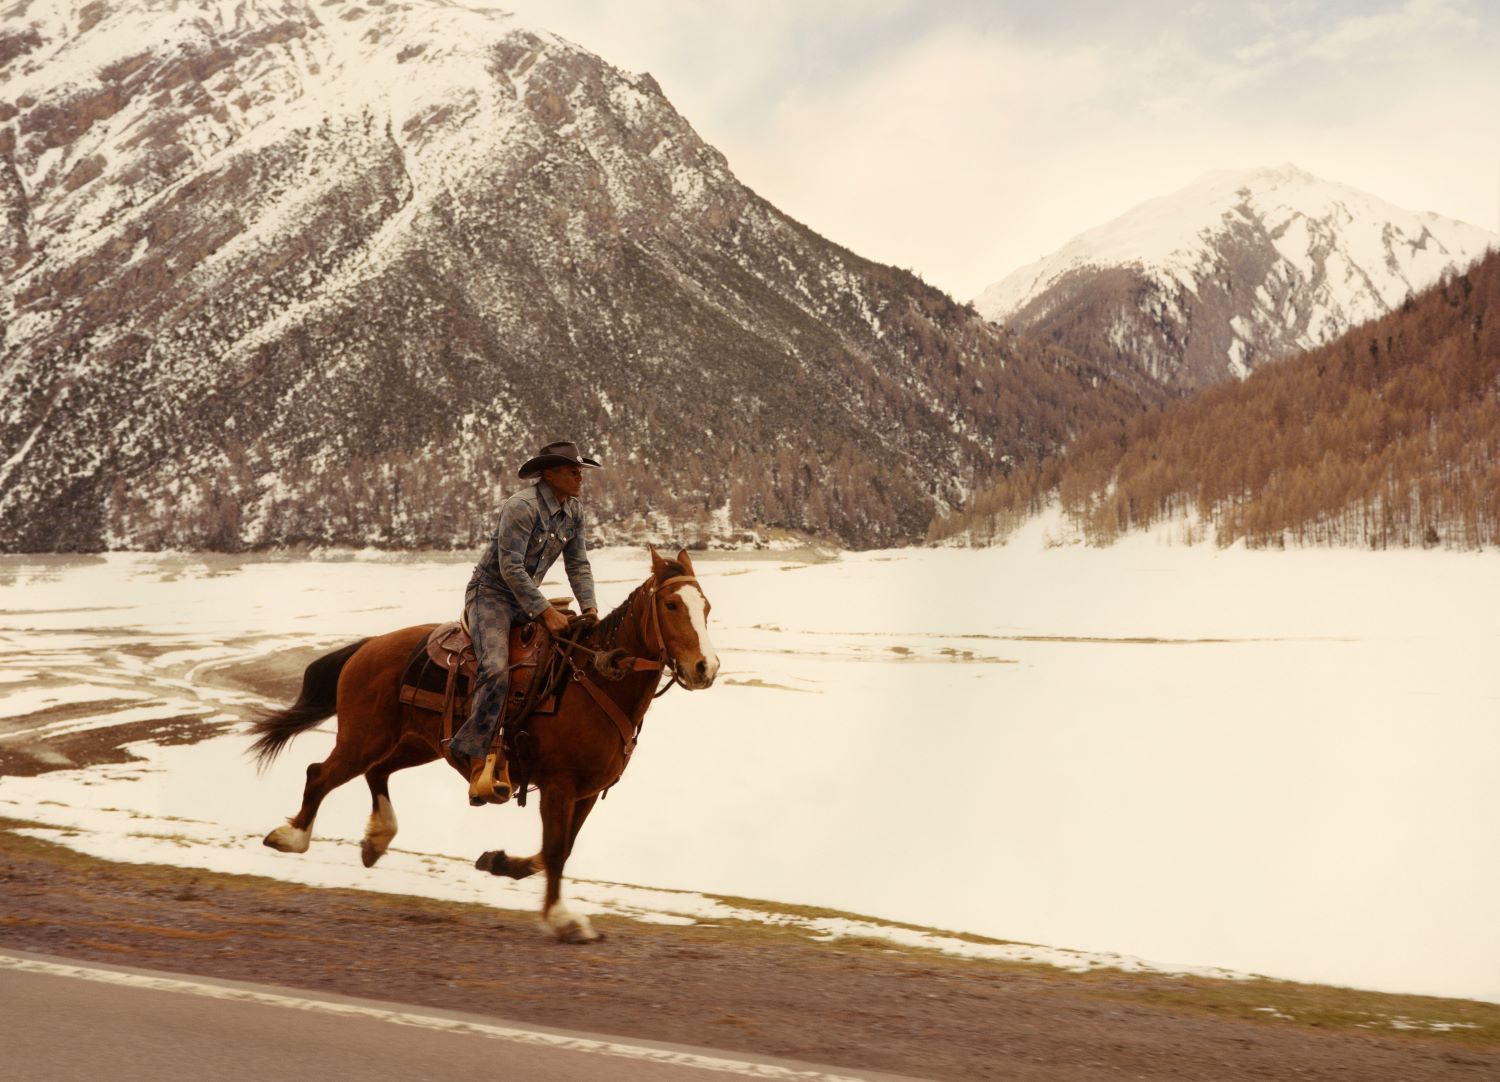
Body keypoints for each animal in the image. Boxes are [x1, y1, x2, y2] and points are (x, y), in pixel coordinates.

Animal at [249, 549, 717, 936]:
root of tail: (369, 647)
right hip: (363, 738)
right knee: (321, 774)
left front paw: (500, 863)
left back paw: (375, 840)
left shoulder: (585, 792)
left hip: (418, 745)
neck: (594, 680)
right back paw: (290, 837)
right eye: (672, 605)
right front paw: (561, 919)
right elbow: (554, 849)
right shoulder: (559, 786)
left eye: (707, 607)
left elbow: (558, 851)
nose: (704, 667)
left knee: (376, 772)